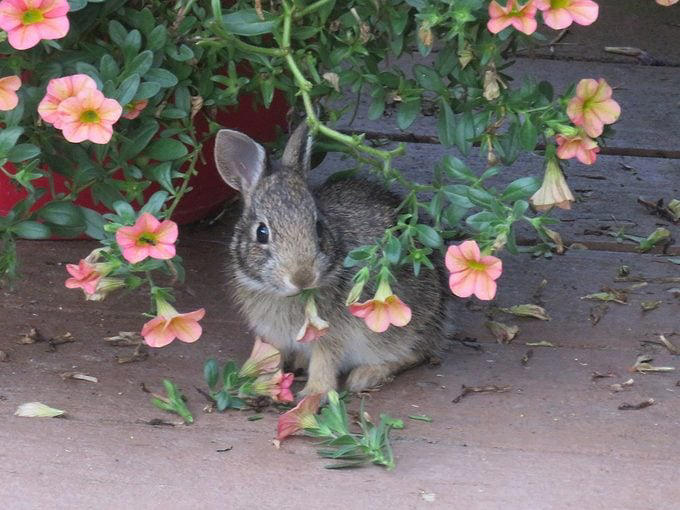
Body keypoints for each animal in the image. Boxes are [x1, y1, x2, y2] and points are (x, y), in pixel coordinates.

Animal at [213, 121, 445, 397]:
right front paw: (258, 384)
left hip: (399, 326)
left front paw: (314, 394)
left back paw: (365, 376)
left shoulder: (331, 333)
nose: (302, 277)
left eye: (318, 227)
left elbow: (325, 361)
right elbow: (272, 357)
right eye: (262, 232)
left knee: (414, 352)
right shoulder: (272, 334)